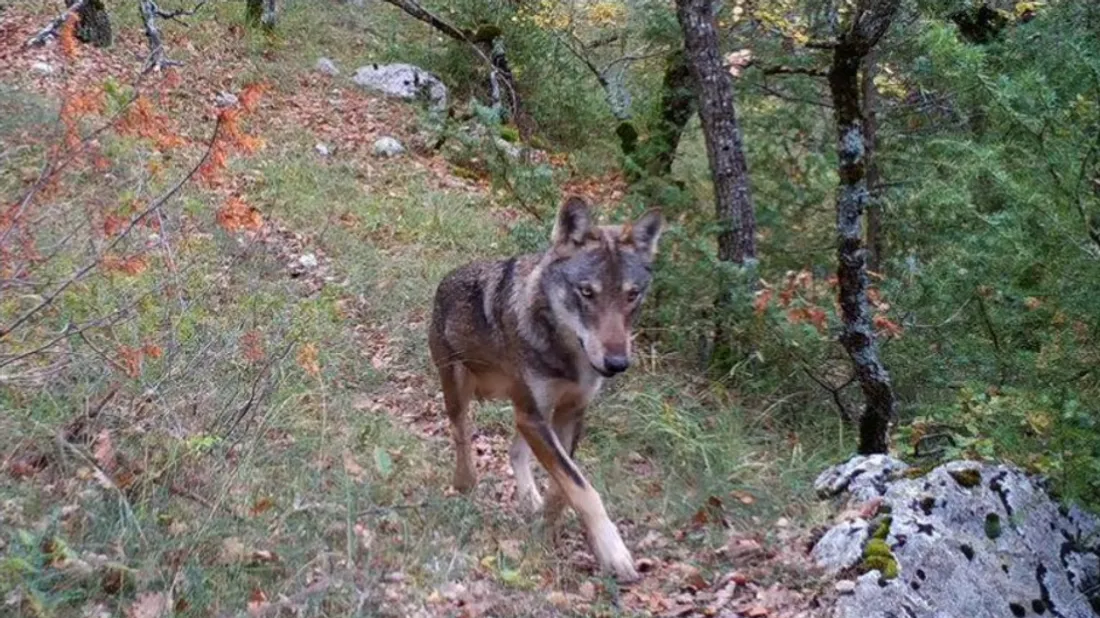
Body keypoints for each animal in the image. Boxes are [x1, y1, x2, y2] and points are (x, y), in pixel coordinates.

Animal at [428, 196, 663, 583]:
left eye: (632, 295)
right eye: (586, 292)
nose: (617, 363)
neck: (567, 356)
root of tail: (444, 280)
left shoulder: (568, 413)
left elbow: (565, 486)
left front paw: (547, 531)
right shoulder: (534, 416)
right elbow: (582, 488)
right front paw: (613, 553)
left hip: (531, 413)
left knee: (515, 451)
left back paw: (528, 499)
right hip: (462, 394)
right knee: (461, 435)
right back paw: (465, 484)